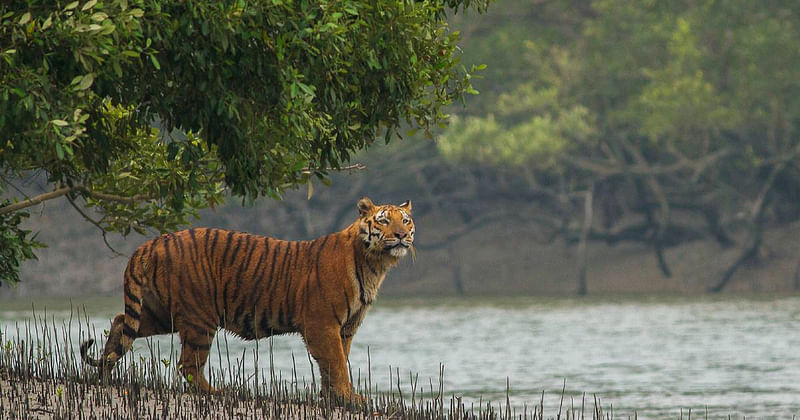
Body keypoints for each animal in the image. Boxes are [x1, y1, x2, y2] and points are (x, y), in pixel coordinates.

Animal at [81, 197, 416, 400]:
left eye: (406, 221)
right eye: (384, 221)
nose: (402, 236)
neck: (375, 264)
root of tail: (152, 243)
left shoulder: (345, 327)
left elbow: (336, 362)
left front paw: (333, 397)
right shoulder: (322, 324)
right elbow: (335, 362)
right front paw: (348, 397)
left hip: (161, 313)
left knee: (120, 322)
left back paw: (104, 376)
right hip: (200, 317)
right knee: (188, 364)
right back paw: (217, 392)